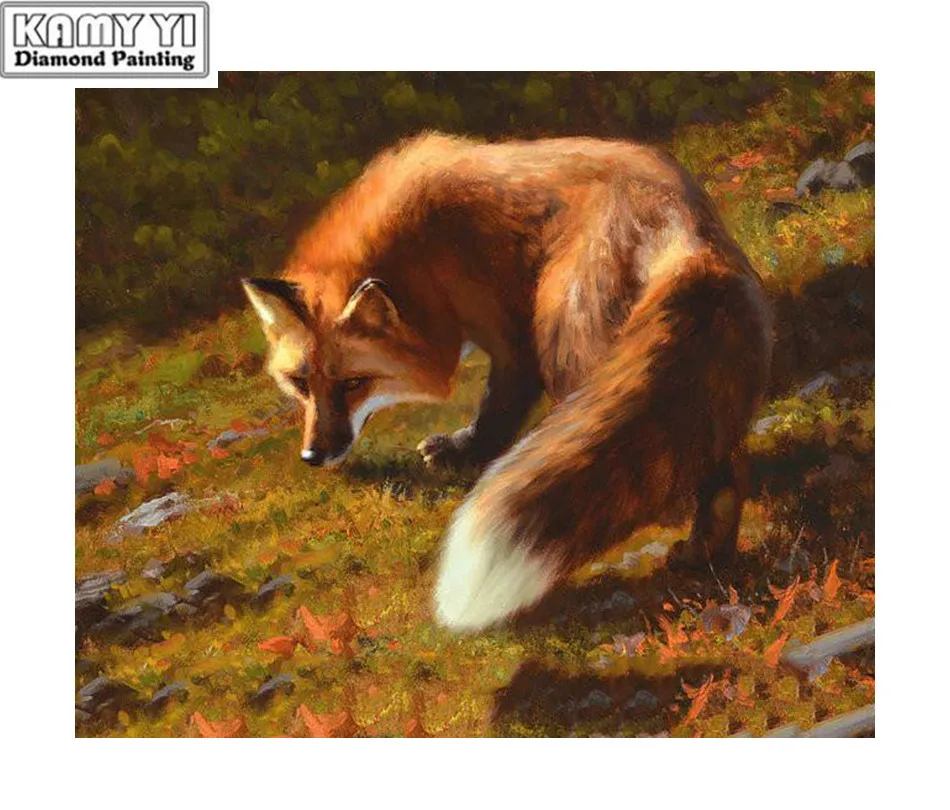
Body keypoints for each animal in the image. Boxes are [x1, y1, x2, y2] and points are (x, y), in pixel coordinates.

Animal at [242, 132, 773, 632]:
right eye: (299, 383)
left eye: (354, 383)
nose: (314, 456)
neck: (420, 255)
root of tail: (683, 228)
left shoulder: (512, 336)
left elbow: (497, 412)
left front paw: (463, 453)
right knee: (721, 460)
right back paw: (707, 552)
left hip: (567, 345)